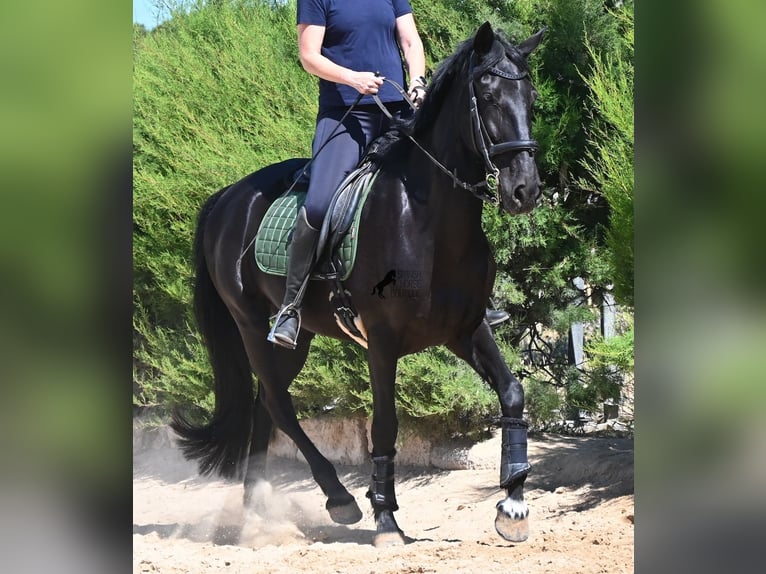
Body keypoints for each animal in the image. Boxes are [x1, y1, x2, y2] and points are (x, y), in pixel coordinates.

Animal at [172, 22, 545, 547]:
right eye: (488, 95)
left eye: (529, 97)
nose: (524, 190)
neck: (429, 222)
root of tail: (227, 197)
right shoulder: (383, 342)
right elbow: (384, 425)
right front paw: (386, 518)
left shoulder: (466, 327)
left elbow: (512, 393)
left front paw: (512, 504)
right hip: (251, 324)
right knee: (280, 406)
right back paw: (338, 500)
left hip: (300, 336)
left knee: (266, 405)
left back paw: (256, 514)